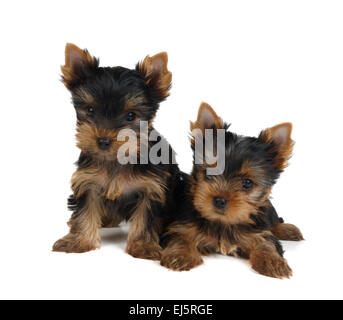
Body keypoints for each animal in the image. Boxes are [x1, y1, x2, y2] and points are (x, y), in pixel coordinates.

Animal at [53, 43, 180, 260]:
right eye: (90, 110)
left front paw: (143, 246)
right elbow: (85, 211)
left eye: (130, 116)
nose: (103, 140)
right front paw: (78, 241)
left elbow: (146, 217)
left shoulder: (151, 187)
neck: (116, 160)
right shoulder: (88, 182)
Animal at [161, 102, 304, 278]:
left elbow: (266, 242)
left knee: (274, 220)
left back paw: (288, 229)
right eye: (209, 173)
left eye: (247, 183)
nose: (220, 200)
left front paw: (273, 262)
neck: (223, 223)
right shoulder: (181, 224)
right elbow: (179, 236)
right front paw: (180, 255)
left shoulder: (258, 232)